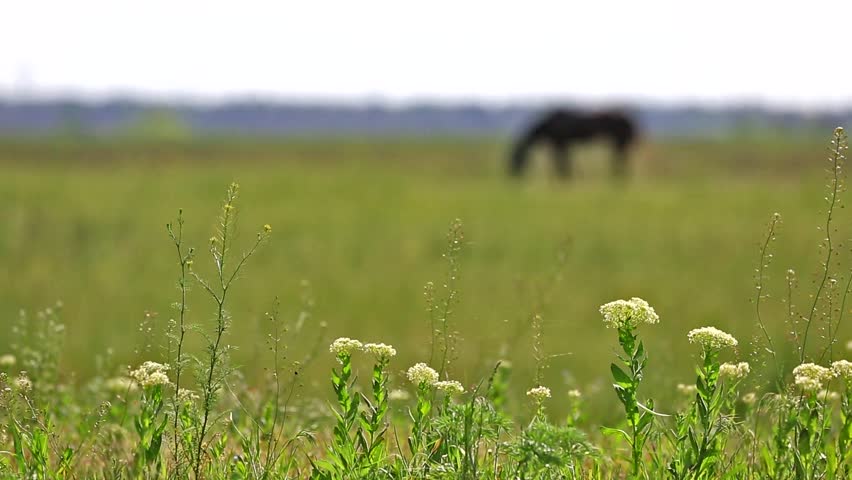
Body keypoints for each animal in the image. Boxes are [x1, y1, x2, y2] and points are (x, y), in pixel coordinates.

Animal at [509, 108, 638, 178]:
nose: (512, 175)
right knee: (620, 158)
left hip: (619, 141)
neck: (549, 124)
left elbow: (561, 162)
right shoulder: (560, 144)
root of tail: (628, 119)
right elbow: (561, 162)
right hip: (618, 142)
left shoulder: (560, 143)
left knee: (620, 158)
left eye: (516, 159)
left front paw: (564, 177)